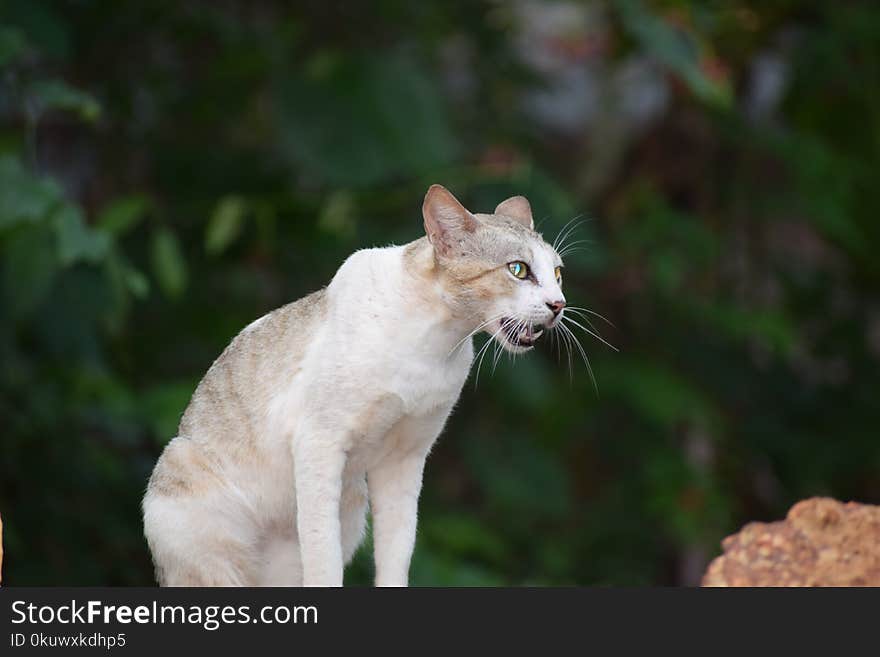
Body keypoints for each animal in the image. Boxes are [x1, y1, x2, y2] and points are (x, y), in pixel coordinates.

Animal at [141, 183, 568, 584]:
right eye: (518, 270)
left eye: (558, 274)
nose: (559, 305)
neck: (435, 342)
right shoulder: (319, 443)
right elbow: (323, 558)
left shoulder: (405, 460)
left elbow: (397, 552)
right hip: (197, 498)